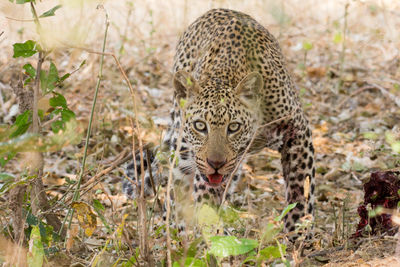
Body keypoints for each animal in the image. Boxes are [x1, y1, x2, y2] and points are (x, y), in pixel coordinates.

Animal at [122, 7, 316, 239]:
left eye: (234, 127)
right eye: (200, 126)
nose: (216, 163)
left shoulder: (297, 131)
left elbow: (300, 188)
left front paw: (297, 235)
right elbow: (207, 204)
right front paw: (211, 240)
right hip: (183, 150)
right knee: (174, 188)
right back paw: (176, 232)